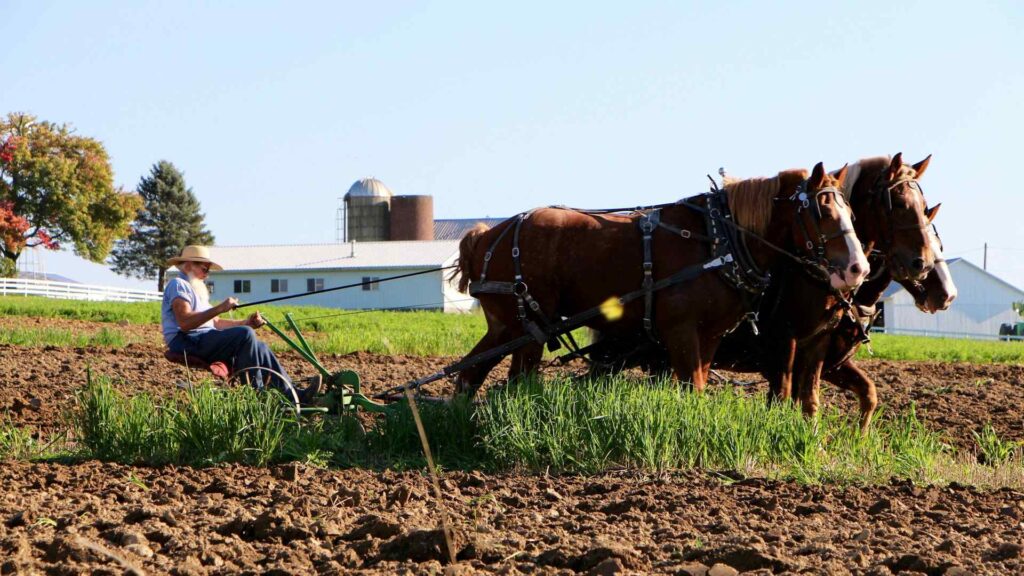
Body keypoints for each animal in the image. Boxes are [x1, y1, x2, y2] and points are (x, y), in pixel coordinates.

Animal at [454, 161, 864, 393]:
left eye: (851, 212)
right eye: (822, 212)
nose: (858, 268)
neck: (717, 239)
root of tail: (485, 237)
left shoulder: (709, 336)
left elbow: (697, 386)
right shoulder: (680, 331)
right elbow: (691, 388)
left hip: (507, 327)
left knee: (471, 372)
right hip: (524, 327)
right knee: (507, 379)